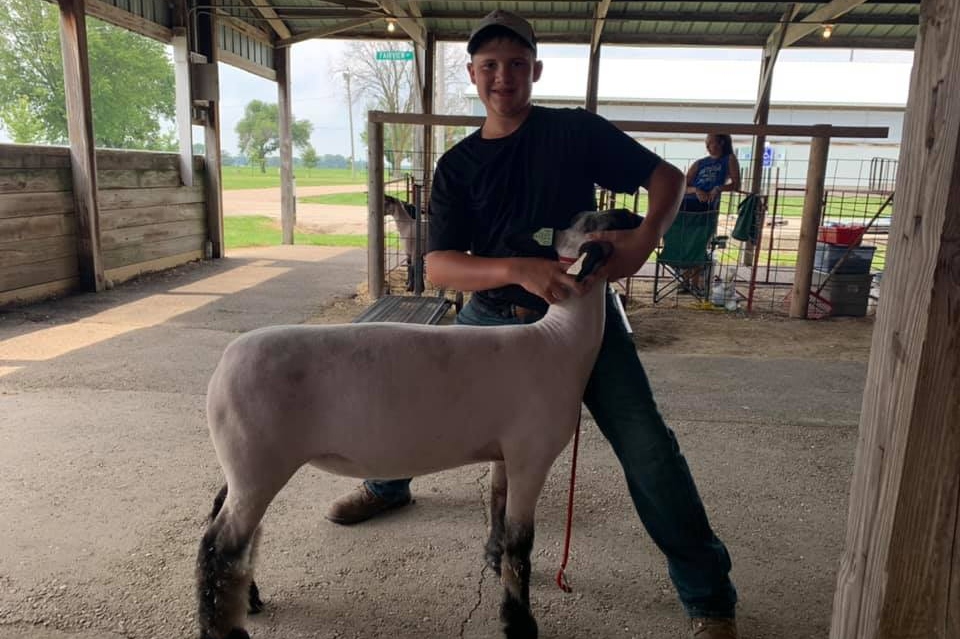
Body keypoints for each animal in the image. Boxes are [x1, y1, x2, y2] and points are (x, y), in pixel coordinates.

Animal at [195, 209, 644, 639]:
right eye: (596, 220)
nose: (635, 217)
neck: (560, 341)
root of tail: (222, 365)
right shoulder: (531, 455)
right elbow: (522, 544)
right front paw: (519, 623)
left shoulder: (505, 451)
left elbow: (497, 505)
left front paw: (493, 558)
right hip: (259, 462)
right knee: (219, 547)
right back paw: (226, 629)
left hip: (246, 460)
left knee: (228, 521)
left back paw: (250, 601)